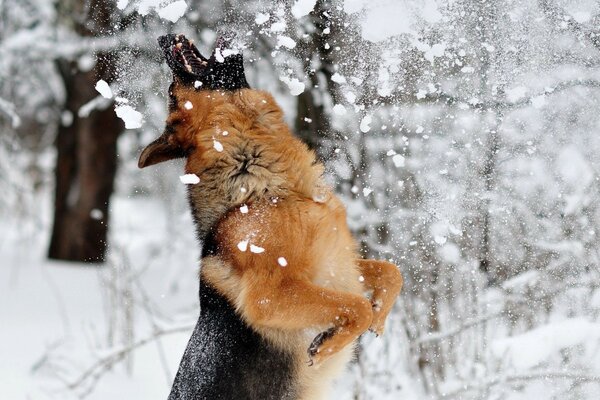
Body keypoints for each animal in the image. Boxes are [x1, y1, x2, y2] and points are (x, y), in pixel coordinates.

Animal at [138, 34, 404, 400]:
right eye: (170, 92)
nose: (163, 37)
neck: (264, 190)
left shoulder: (337, 264)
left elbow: (391, 273)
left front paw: (379, 317)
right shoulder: (269, 296)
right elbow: (357, 306)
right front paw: (329, 344)